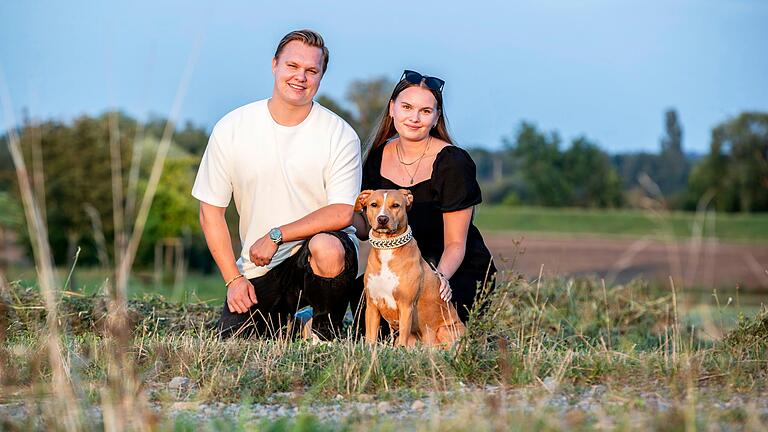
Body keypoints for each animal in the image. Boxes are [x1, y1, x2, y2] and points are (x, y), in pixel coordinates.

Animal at [352, 189, 464, 348]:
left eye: (395, 205)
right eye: (373, 204)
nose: (382, 219)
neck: (387, 249)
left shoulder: (406, 306)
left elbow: (402, 340)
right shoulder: (372, 306)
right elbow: (370, 338)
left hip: (445, 330)